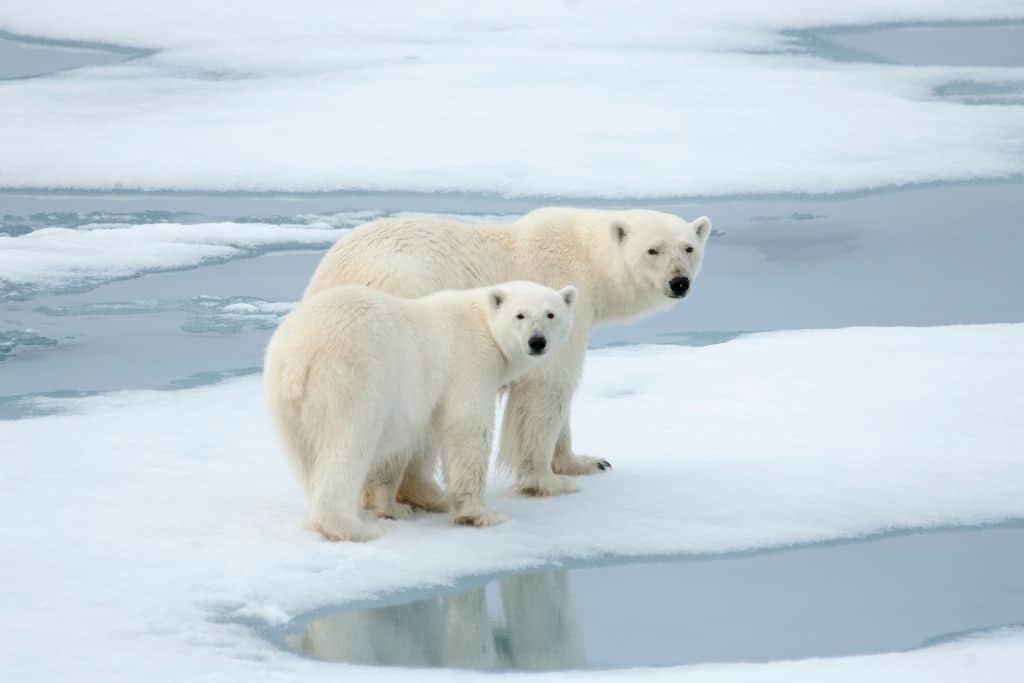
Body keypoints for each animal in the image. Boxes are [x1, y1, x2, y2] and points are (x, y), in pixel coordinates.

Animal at [263, 280, 576, 541]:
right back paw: (356, 528)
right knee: (348, 446)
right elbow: (467, 428)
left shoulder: (424, 396)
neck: (482, 321)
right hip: (351, 378)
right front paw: (480, 513)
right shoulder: (471, 361)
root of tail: (298, 356)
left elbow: (419, 437)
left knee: (304, 457)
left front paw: (409, 503)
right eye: (520, 315)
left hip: (283, 398)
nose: (537, 341)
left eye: (550, 314)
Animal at [303, 207, 711, 500]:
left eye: (689, 248)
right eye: (653, 249)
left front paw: (586, 462)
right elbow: (546, 388)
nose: (679, 282)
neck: (586, 257)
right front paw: (546, 480)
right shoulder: (555, 298)